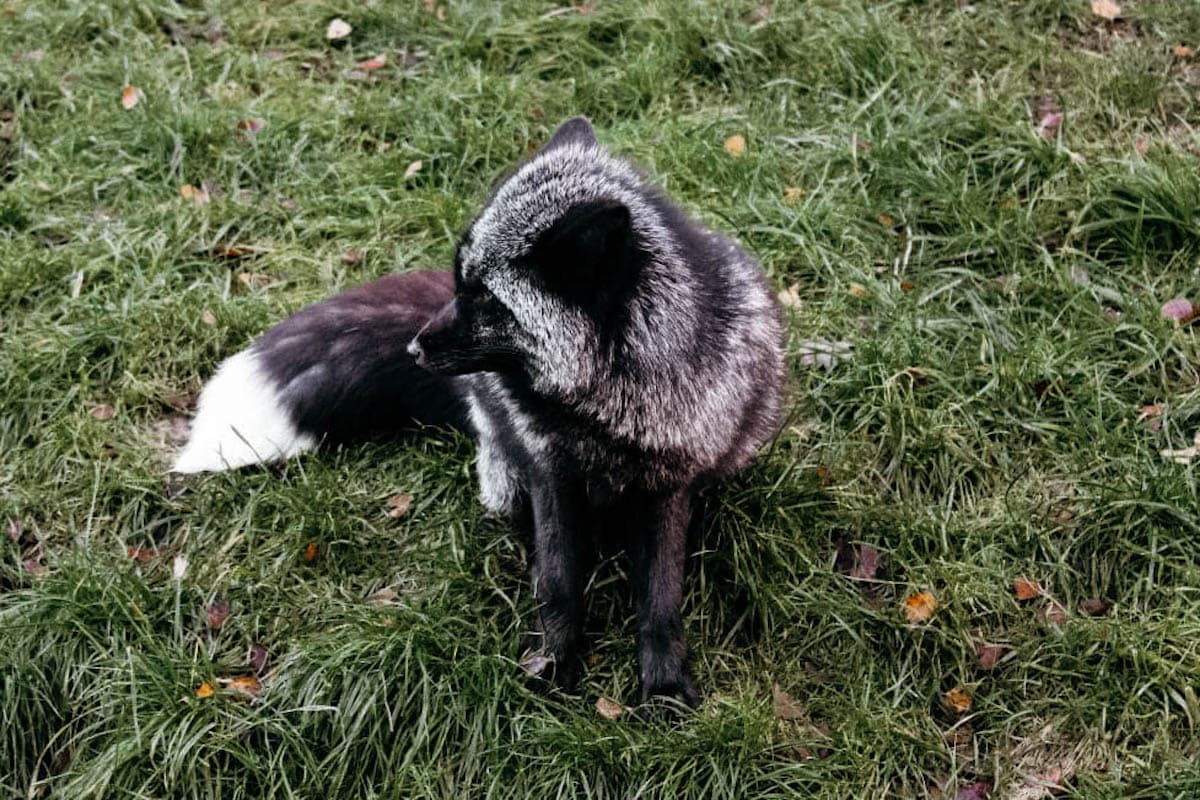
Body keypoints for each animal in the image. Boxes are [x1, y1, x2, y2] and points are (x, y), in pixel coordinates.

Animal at [171, 117, 787, 705]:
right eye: (457, 282)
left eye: (488, 300)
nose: (414, 349)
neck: (600, 411)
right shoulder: (549, 474)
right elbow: (558, 584)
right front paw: (552, 668)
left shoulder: (668, 484)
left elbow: (660, 601)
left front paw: (662, 687)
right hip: (506, 475)